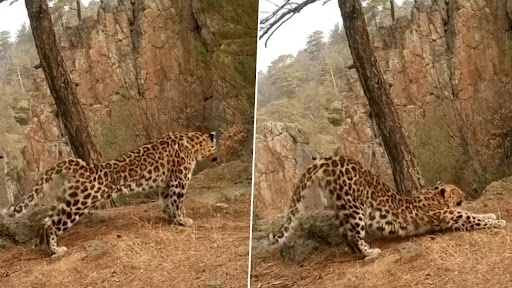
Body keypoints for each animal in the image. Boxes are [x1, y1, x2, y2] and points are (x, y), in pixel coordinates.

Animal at [0, 132, 216, 255]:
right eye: (215, 146)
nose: (217, 157)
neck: (193, 143)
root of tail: (84, 168)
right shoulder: (179, 181)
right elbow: (177, 203)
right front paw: (183, 220)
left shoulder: (166, 183)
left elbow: (166, 201)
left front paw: (171, 218)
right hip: (78, 204)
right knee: (53, 225)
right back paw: (56, 250)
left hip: (67, 200)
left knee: (45, 221)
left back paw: (43, 247)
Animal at [270, 154, 506, 260]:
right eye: (456, 191)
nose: (465, 194)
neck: (433, 196)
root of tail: (329, 159)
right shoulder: (448, 215)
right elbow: (471, 216)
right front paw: (499, 221)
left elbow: (473, 213)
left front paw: (492, 214)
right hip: (354, 207)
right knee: (354, 234)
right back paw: (371, 252)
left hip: (339, 206)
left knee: (345, 234)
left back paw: (358, 253)